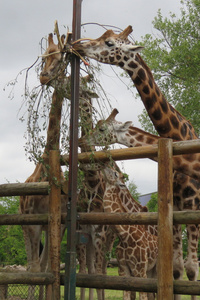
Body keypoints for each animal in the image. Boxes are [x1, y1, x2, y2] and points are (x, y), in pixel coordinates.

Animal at [74, 27, 200, 298]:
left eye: (109, 43)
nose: (78, 45)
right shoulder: (175, 208)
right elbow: (175, 269)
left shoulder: (193, 206)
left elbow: (191, 269)